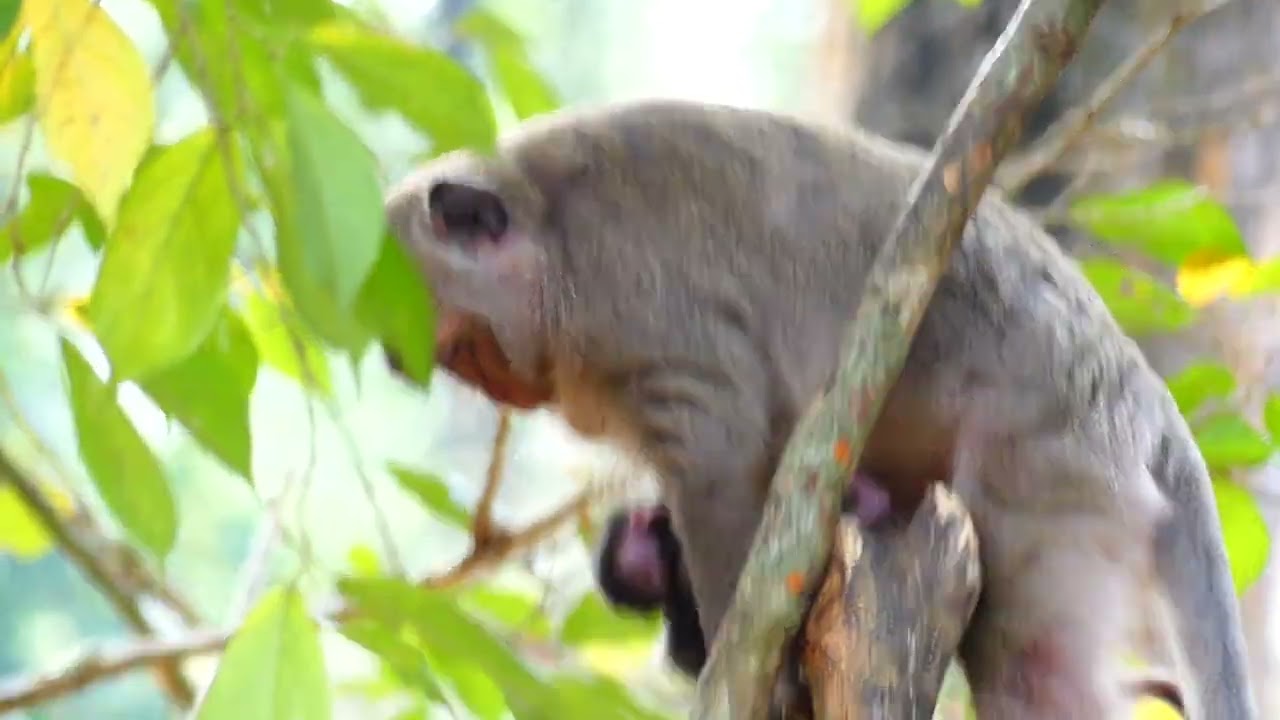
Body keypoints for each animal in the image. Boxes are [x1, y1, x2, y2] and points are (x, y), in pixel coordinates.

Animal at [382, 99, 1254, 719]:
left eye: (459, 347)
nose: (489, 380)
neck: (551, 225)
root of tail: (1141, 389)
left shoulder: (640, 316)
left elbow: (721, 464)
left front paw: (746, 672)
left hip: (1057, 458)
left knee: (1028, 661)